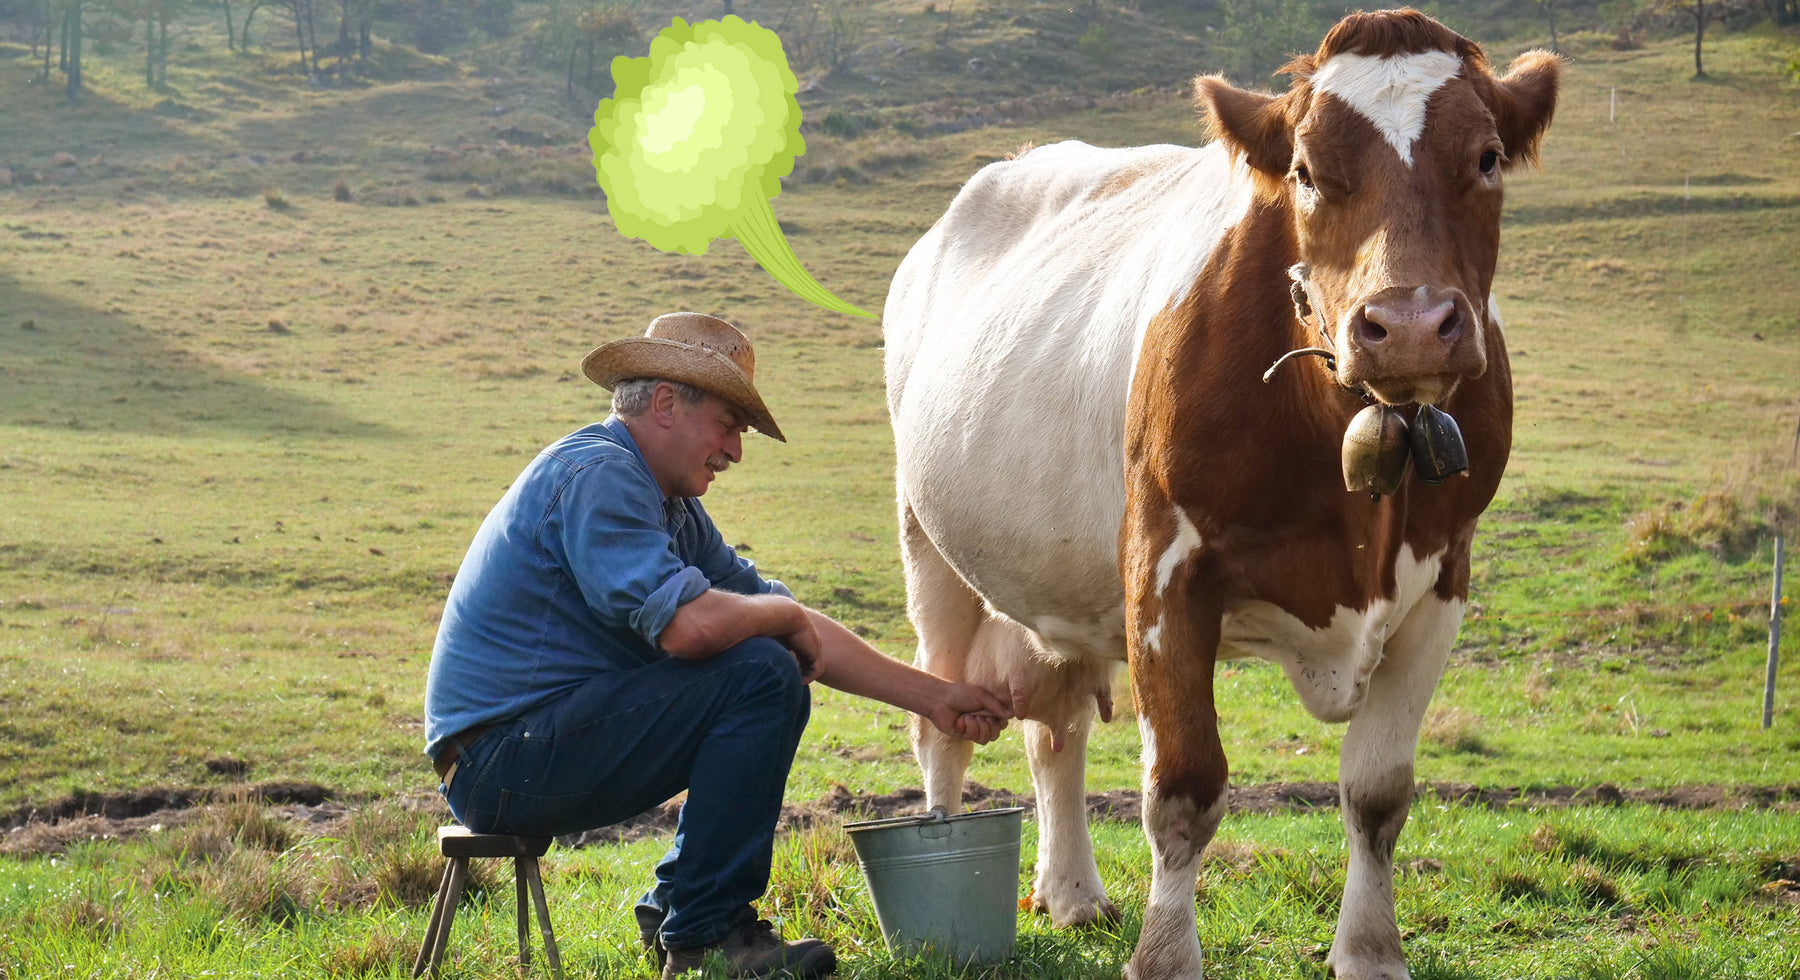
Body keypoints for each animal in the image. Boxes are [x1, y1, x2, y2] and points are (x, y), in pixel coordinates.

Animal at [882, 9, 1559, 979]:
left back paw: (1072, 892)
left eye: (1488, 156)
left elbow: (1378, 792)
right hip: (929, 552)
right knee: (940, 723)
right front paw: (1165, 957)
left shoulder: (1443, 579)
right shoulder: (1164, 573)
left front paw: (1370, 951)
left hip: (1060, 587)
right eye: (1306, 172)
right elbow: (1183, 790)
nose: (1409, 326)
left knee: (1057, 733)